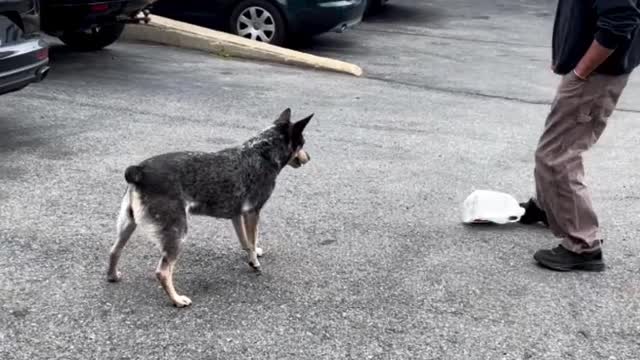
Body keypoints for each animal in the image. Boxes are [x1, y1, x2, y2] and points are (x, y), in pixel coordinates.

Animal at [107, 109, 312, 306]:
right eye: (302, 143)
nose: (309, 157)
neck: (262, 151)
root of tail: (139, 171)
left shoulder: (237, 216)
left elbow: (245, 241)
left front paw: (251, 255)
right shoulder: (252, 212)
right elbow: (253, 240)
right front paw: (254, 262)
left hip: (128, 223)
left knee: (114, 250)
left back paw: (112, 275)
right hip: (177, 232)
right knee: (162, 272)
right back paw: (177, 300)